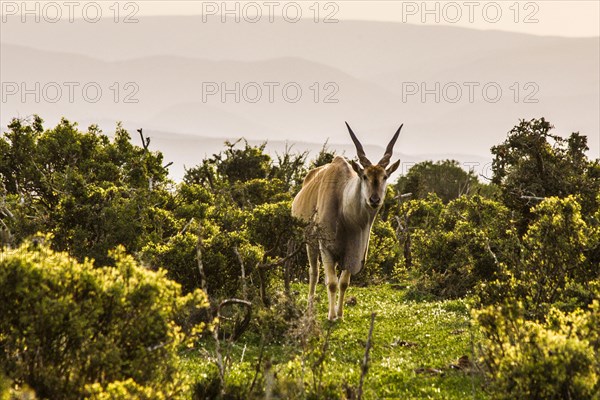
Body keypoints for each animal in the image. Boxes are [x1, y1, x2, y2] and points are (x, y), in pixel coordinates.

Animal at [292, 122, 404, 318]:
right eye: (365, 176)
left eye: (385, 176)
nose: (374, 200)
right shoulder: (325, 248)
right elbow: (331, 282)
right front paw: (331, 316)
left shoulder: (351, 252)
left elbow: (343, 282)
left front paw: (340, 314)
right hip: (310, 243)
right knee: (314, 272)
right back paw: (310, 307)